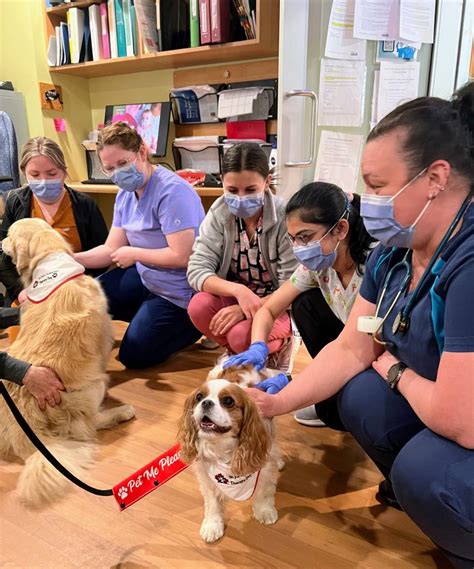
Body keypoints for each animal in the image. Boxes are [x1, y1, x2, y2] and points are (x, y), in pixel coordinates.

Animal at [0, 217, 135, 506]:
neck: (49, 259)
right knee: (90, 424)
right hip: (93, 386)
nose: (0, 240)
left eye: (10, 234)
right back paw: (122, 412)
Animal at [177, 362, 282, 544]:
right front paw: (212, 525)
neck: (222, 448)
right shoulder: (207, 476)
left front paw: (264, 511)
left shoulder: (266, 465)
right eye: (199, 397)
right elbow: (212, 502)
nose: (206, 403)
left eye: (228, 401)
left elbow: (265, 490)